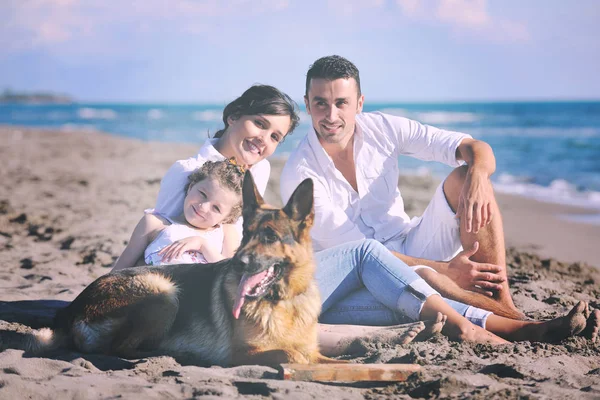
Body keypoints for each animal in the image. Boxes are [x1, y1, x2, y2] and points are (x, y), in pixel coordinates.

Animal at [23, 172, 332, 366]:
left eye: (270, 237)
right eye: (247, 235)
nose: (236, 263)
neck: (283, 302)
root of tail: (70, 310)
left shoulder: (315, 353)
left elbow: (327, 359)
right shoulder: (241, 354)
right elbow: (292, 355)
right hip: (164, 291)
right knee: (118, 348)